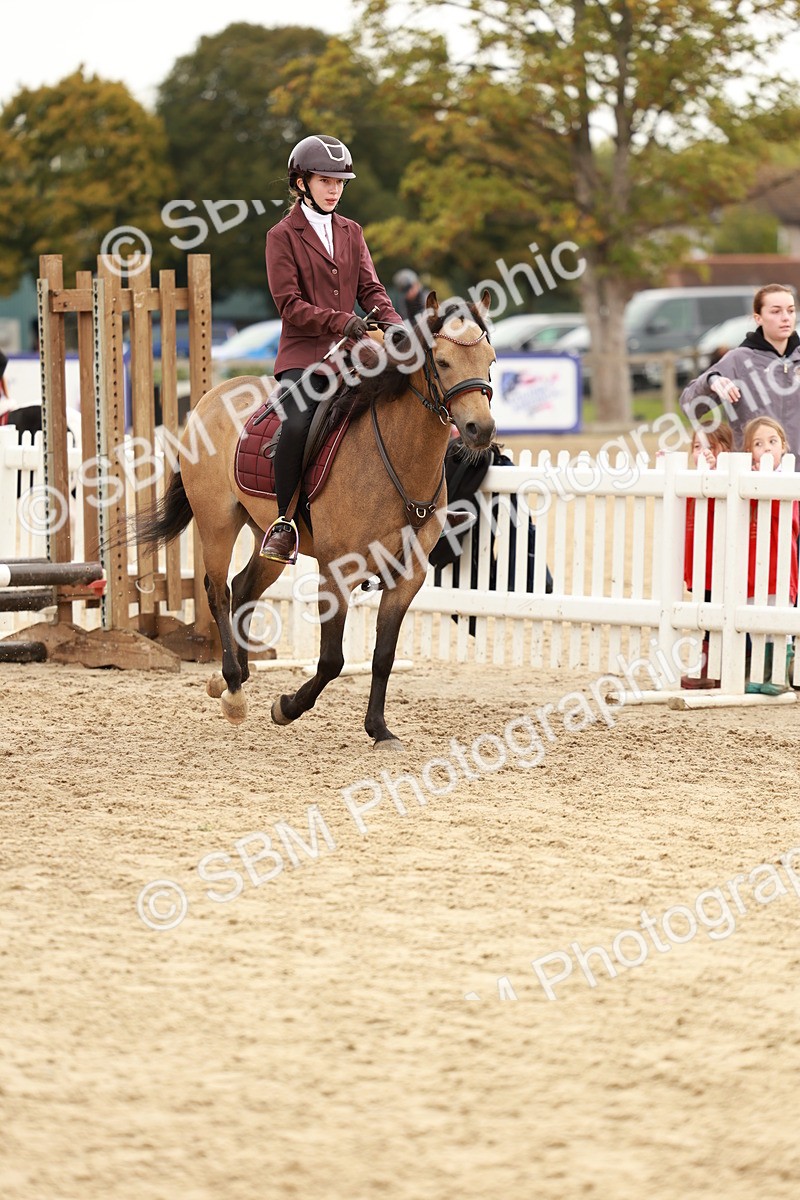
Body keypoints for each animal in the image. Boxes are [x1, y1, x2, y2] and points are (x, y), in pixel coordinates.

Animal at [135, 292, 496, 749]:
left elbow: (383, 656)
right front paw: (287, 707)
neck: (397, 456)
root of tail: (212, 395)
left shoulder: (407, 577)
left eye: (491, 360)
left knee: (245, 586)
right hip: (217, 525)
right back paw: (233, 687)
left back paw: (235, 675)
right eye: (444, 362)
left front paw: (379, 729)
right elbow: (331, 660)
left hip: (268, 536)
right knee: (218, 591)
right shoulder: (337, 572)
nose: (480, 429)